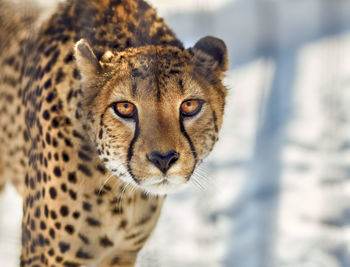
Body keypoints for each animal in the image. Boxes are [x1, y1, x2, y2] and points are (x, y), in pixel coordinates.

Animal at [0, 0, 228, 266]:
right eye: (125, 108)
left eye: (190, 105)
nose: (163, 159)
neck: (122, 193)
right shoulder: (46, 255)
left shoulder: (123, 253)